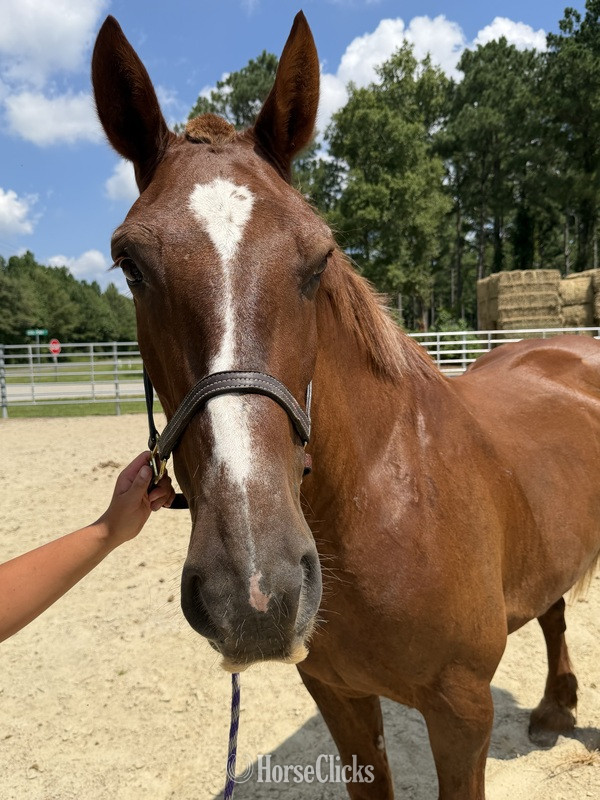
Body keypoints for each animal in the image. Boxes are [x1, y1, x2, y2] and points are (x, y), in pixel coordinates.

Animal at [92, 13, 600, 799]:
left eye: (319, 257)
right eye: (130, 264)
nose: (255, 592)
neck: (384, 500)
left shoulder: (462, 713)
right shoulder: (339, 697)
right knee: (552, 608)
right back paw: (554, 707)